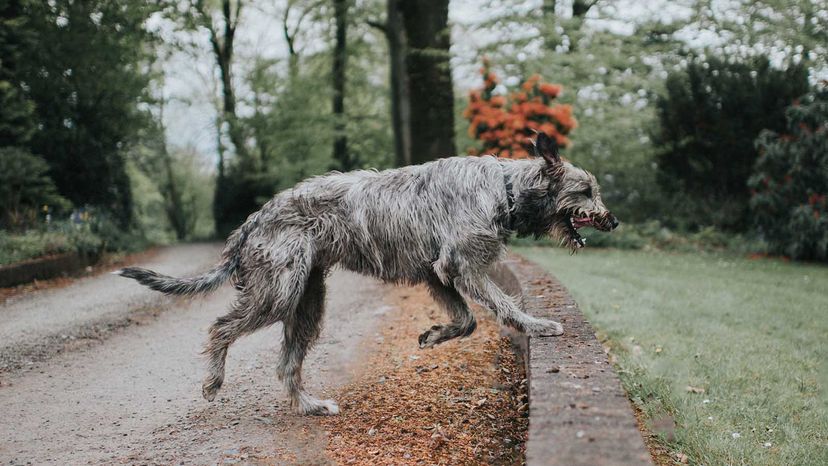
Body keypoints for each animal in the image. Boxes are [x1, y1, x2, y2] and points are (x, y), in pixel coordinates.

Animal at [119, 133, 616, 414]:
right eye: (586, 190)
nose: (613, 221)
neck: (504, 189)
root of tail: (253, 220)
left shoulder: (437, 274)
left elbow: (468, 320)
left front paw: (435, 335)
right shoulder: (459, 265)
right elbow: (502, 305)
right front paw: (537, 324)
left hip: (308, 303)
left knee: (286, 364)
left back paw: (309, 406)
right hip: (278, 293)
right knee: (221, 328)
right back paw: (213, 382)